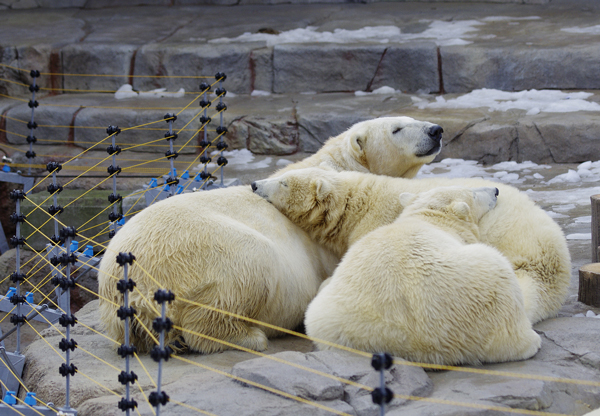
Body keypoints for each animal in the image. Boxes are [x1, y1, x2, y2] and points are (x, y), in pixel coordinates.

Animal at [98, 117, 442, 354]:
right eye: (398, 128)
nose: (436, 130)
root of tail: (134, 283)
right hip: (208, 255)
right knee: (244, 274)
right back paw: (249, 336)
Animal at [302, 187, 540, 366]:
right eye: (473, 193)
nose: (496, 190)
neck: (428, 218)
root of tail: (423, 342)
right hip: (490, 285)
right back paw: (532, 340)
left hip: (332, 322)